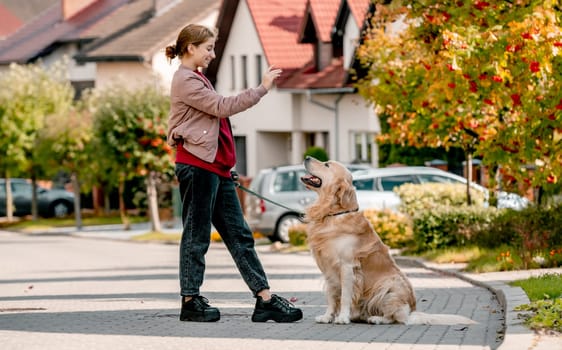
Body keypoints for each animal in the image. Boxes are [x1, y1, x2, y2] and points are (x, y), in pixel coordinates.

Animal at [300, 157, 474, 326]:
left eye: (327, 165)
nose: (307, 157)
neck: (332, 214)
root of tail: (412, 311)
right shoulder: (328, 270)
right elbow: (331, 297)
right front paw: (327, 316)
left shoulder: (347, 267)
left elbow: (344, 297)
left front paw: (342, 317)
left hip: (388, 286)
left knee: (396, 317)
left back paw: (377, 319)